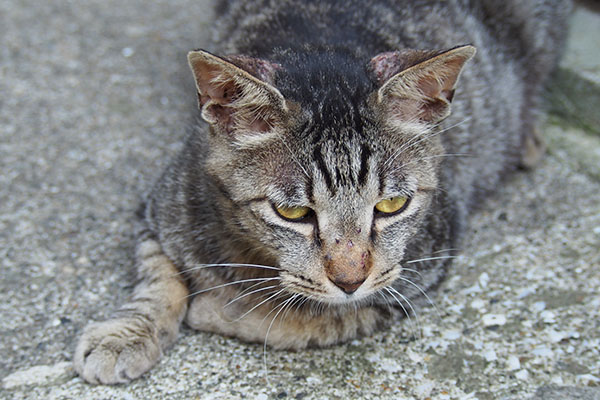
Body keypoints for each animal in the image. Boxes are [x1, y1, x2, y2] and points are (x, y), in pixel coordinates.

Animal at [74, 0, 572, 384]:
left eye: (392, 205)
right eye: (292, 213)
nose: (349, 279)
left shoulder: (418, 267)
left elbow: (312, 317)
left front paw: (219, 308)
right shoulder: (161, 205)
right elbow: (158, 277)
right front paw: (127, 333)